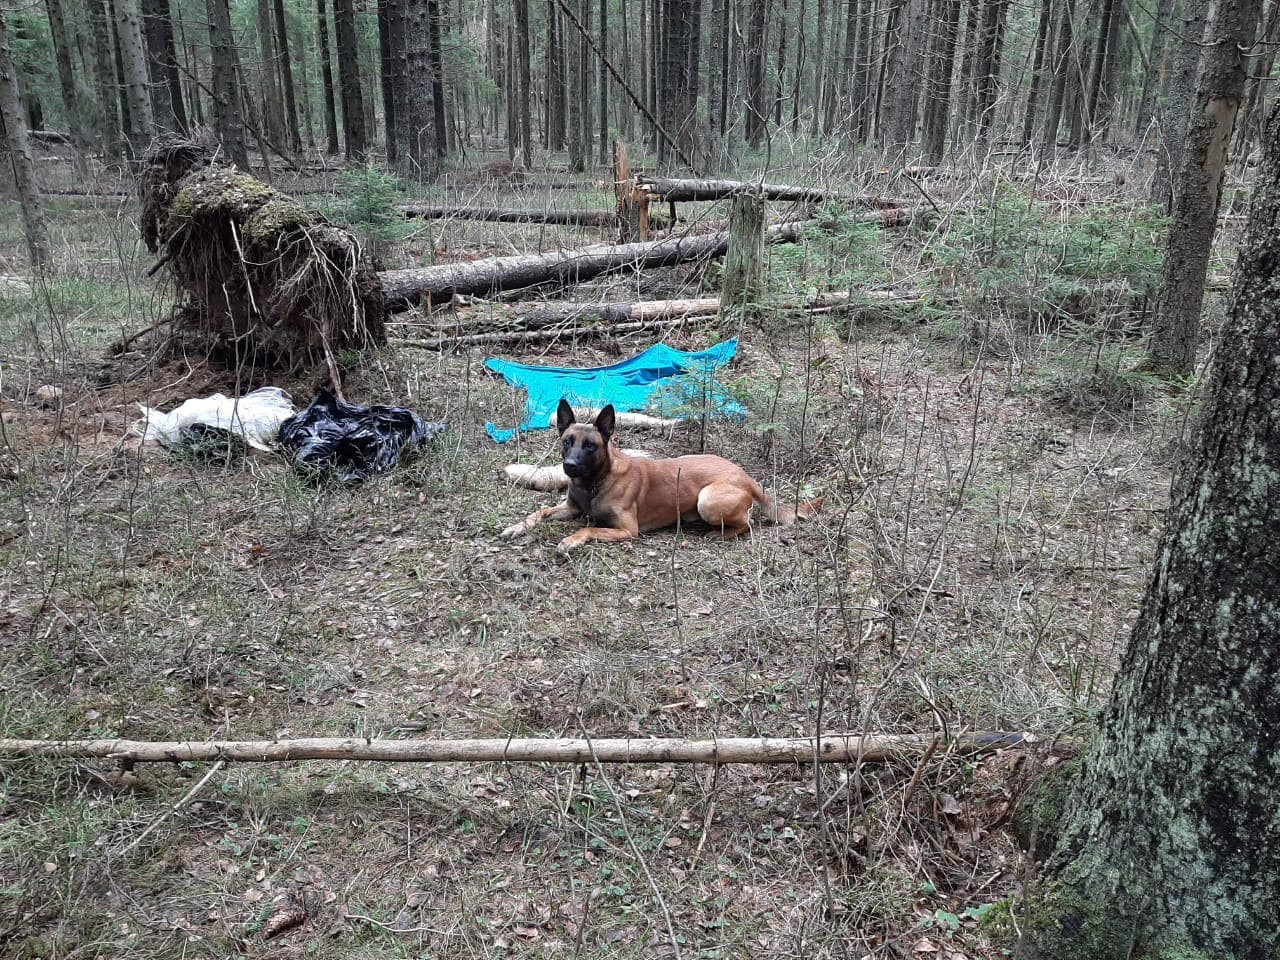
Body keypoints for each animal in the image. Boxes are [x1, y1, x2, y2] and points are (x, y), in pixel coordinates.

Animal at [499, 401, 819, 560]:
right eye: (567, 441)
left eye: (590, 445)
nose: (570, 466)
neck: (594, 482)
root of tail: (748, 478)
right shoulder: (572, 508)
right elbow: (540, 511)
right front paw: (517, 526)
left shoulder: (627, 530)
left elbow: (588, 529)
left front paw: (570, 540)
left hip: (707, 500)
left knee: (748, 524)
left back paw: (718, 534)